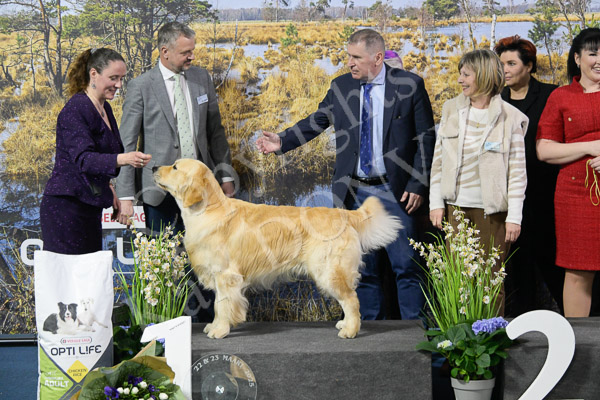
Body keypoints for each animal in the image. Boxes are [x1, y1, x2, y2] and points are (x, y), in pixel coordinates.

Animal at [153, 159, 402, 339]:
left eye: (175, 167)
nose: (154, 167)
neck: (208, 210)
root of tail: (345, 215)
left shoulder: (226, 275)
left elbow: (222, 305)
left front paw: (219, 330)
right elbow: (217, 304)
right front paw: (213, 326)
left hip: (329, 271)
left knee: (351, 299)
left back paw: (350, 330)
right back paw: (345, 324)